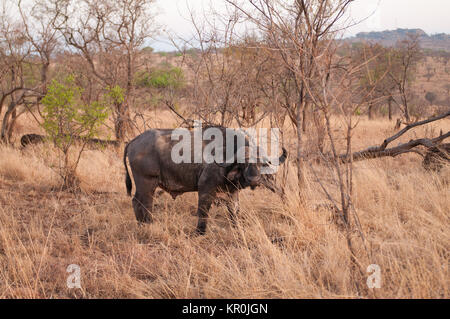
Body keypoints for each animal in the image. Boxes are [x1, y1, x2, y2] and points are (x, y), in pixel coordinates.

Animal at [123, 127, 284, 235]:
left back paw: (141, 224)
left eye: (260, 164)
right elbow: (203, 211)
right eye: (243, 164)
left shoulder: (232, 193)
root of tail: (134, 141)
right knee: (144, 203)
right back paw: (148, 224)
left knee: (136, 202)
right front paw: (200, 232)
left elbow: (234, 212)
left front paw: (237, 228)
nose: (254, 179)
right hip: (147, 183)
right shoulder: (205, 189)